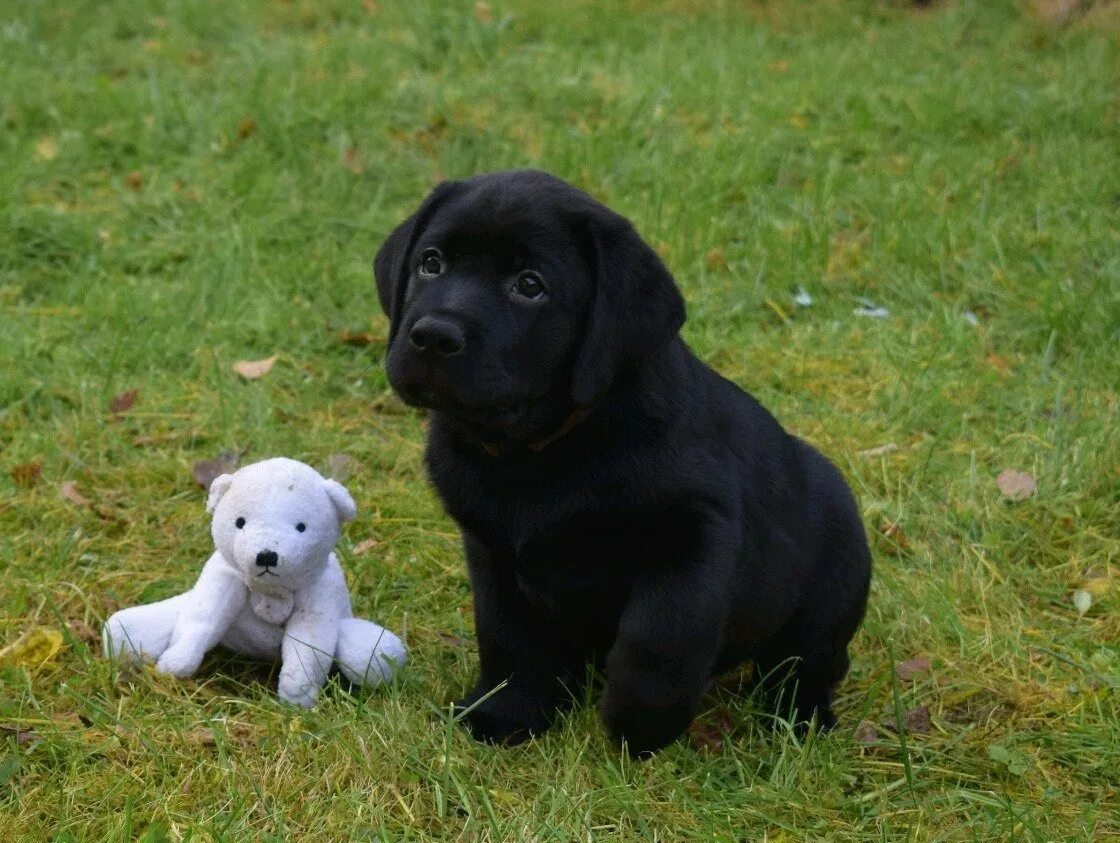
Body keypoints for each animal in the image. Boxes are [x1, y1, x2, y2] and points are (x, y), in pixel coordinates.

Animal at [371, 167, 869, 752]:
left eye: (530, 286)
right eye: (431, 262)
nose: (431, 335)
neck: (534, 453)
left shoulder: (692, 532)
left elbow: (659, 638)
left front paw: (638, 725)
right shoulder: (491, 549)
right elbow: (506, 634)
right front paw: (507, 713)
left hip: (833, 586)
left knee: (807, 663)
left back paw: (800, 718)